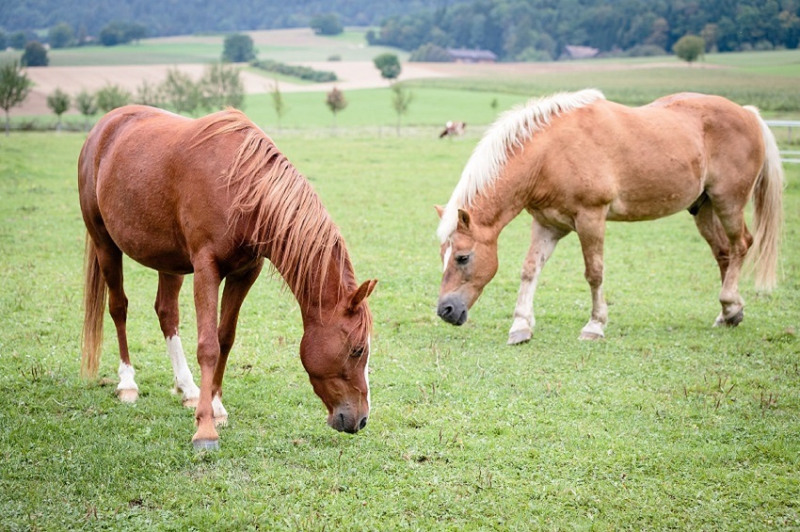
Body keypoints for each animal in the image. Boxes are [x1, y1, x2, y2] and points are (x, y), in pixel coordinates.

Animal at [76, 105, 376, 448]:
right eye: (357, 349)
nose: (361, 419)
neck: (242, 188)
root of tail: (105, 124)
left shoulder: (245, 273)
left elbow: (225, 338)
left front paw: (215, 406)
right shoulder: (206, 268)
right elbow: (208, 346)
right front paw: (205, 429)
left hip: (168, 261)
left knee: (167, 314)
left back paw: (189, 389)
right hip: (105, 244)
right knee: (119, 308)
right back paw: (128, 383)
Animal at [438, 89, 780, 342]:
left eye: (463, 257)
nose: (445, 310)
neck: (549, 154)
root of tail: (748, 113)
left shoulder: (591, 218)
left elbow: (594, 273)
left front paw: (595, 325)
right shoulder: (547, 224)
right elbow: (529, 270)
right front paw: (521, 326)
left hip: (728, 202)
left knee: (741, 245)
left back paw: (729, 304)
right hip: (703, 207)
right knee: (723, 253)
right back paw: (729, 314)